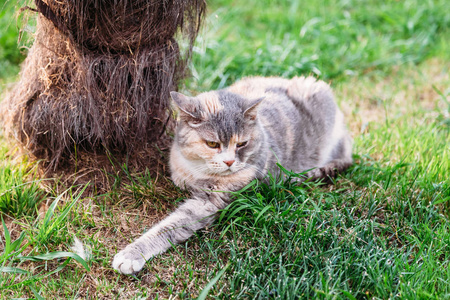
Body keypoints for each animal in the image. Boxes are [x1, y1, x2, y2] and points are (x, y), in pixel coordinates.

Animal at [111, 75, 352, 274]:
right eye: (212, 144)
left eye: (242, 144)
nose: (229, 161)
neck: (198, 172)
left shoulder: (212, 201)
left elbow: (171, 225)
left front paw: (131, 254)